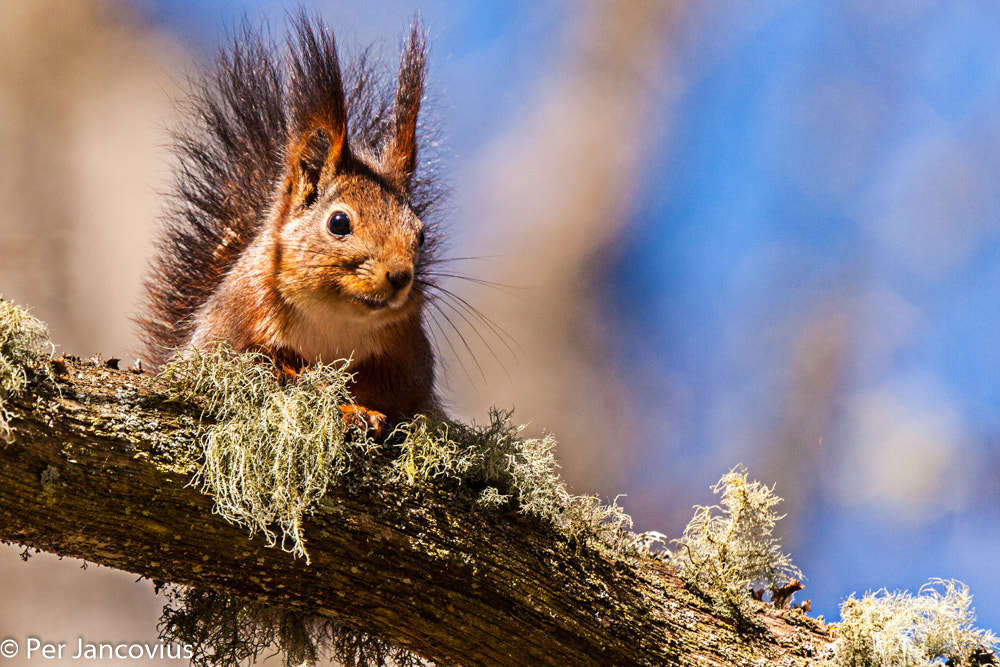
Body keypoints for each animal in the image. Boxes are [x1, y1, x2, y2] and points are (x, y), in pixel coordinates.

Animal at [138, 14, 444, 430]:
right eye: (339, 223)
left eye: (421, 234)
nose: (400, 277)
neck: (335, 316)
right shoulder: (234, 319)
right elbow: (245, 362)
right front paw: (305, 380)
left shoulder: (406, 356)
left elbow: (390, 392)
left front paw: (360, 409)